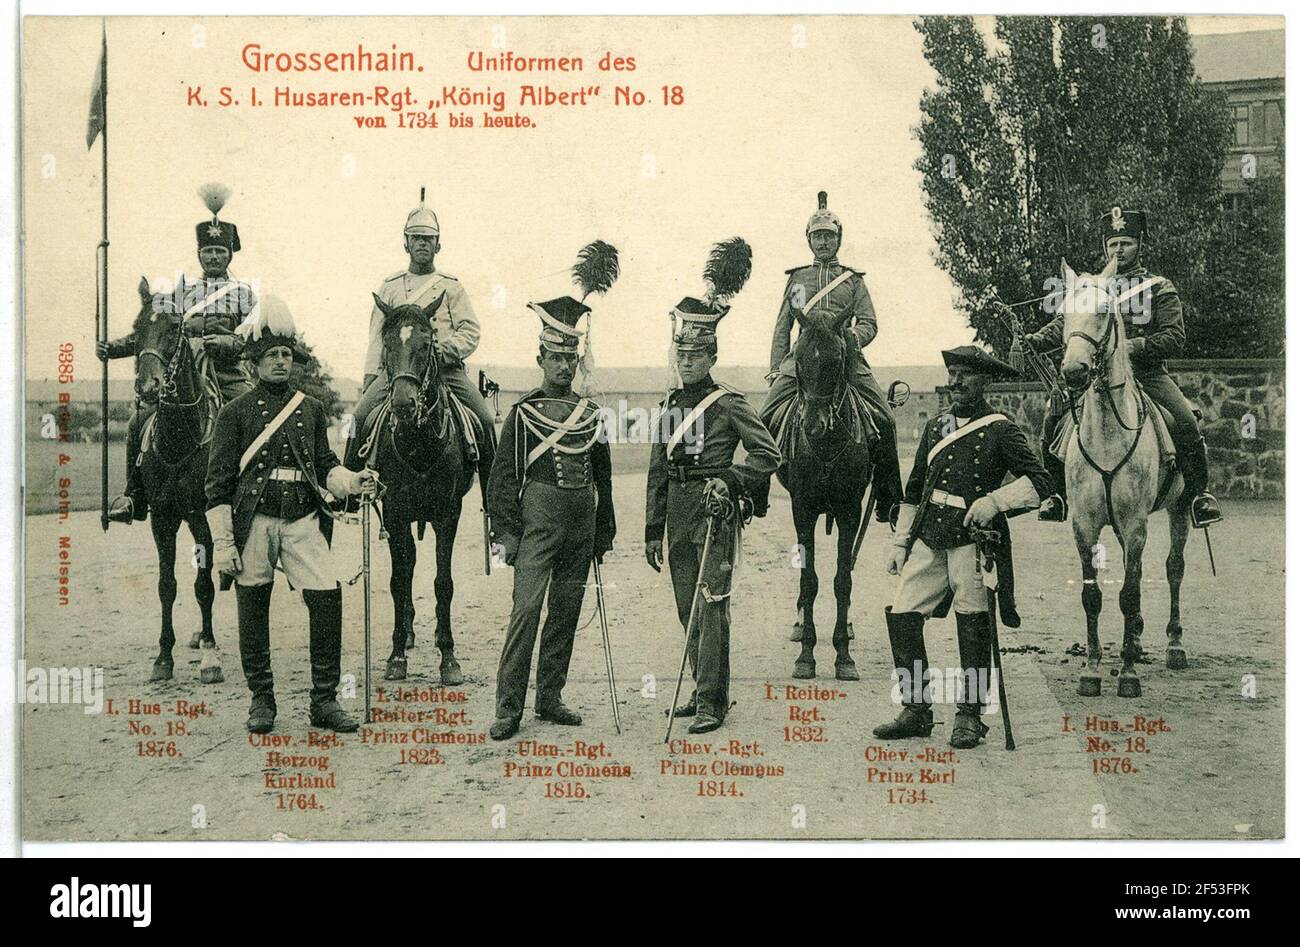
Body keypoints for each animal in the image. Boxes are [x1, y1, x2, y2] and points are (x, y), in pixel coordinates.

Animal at [774, 306, 878, 686]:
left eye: (837, 359)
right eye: (800, 357)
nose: (813, 426)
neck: (827, 447)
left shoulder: (850, 511)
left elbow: (842, 580)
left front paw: (843, 656)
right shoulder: (802, 510)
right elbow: (809, 581)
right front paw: (806, 655)